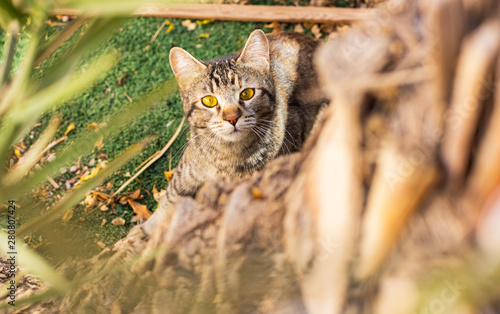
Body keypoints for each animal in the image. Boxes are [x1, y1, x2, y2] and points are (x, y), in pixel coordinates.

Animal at [142, 30, 328, 236]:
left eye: (247, 93)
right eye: (209, 101)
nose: (232, 118)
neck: (226, 156)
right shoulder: (188, 165)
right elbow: (171, 196)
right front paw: (139, 236)